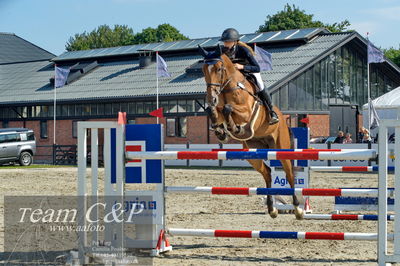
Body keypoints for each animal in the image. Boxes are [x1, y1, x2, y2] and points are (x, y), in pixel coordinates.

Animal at [198, 46, 304, 219]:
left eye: (219, 68)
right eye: (203, 70)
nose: (211, 97)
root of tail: (283, 120)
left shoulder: (246, 112)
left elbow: (229, 108)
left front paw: (234, 128)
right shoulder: (218, 109)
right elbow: (214, 111)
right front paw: (221, 130)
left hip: (281, 147)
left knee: (289, 174)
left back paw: (298, 209)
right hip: (253, 153)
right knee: (267, 173)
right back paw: (272, 209)